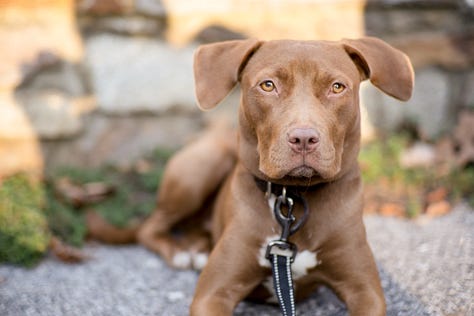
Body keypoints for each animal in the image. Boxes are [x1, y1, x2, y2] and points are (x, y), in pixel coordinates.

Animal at [136, 36, 412, 314]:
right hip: (201, 166)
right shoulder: (213, 294)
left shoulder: (365, 290)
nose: (303, 139)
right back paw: (180, 252)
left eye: (337, 87)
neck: (294, 198)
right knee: (149, 226)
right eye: (268, 85)